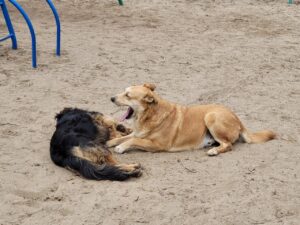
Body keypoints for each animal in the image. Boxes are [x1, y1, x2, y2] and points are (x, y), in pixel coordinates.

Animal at [107, 83, 276, 156]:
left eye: (128, 95)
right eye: (124, 91)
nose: (111, 98)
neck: (150, 116)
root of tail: (237, 118)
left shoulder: (158, 145)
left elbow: (133, 140)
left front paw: (121, 147)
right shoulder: (138, 132)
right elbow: (126, 137)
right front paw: (111, 141)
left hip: (211, 116)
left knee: (228, 145)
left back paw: (214, 150)